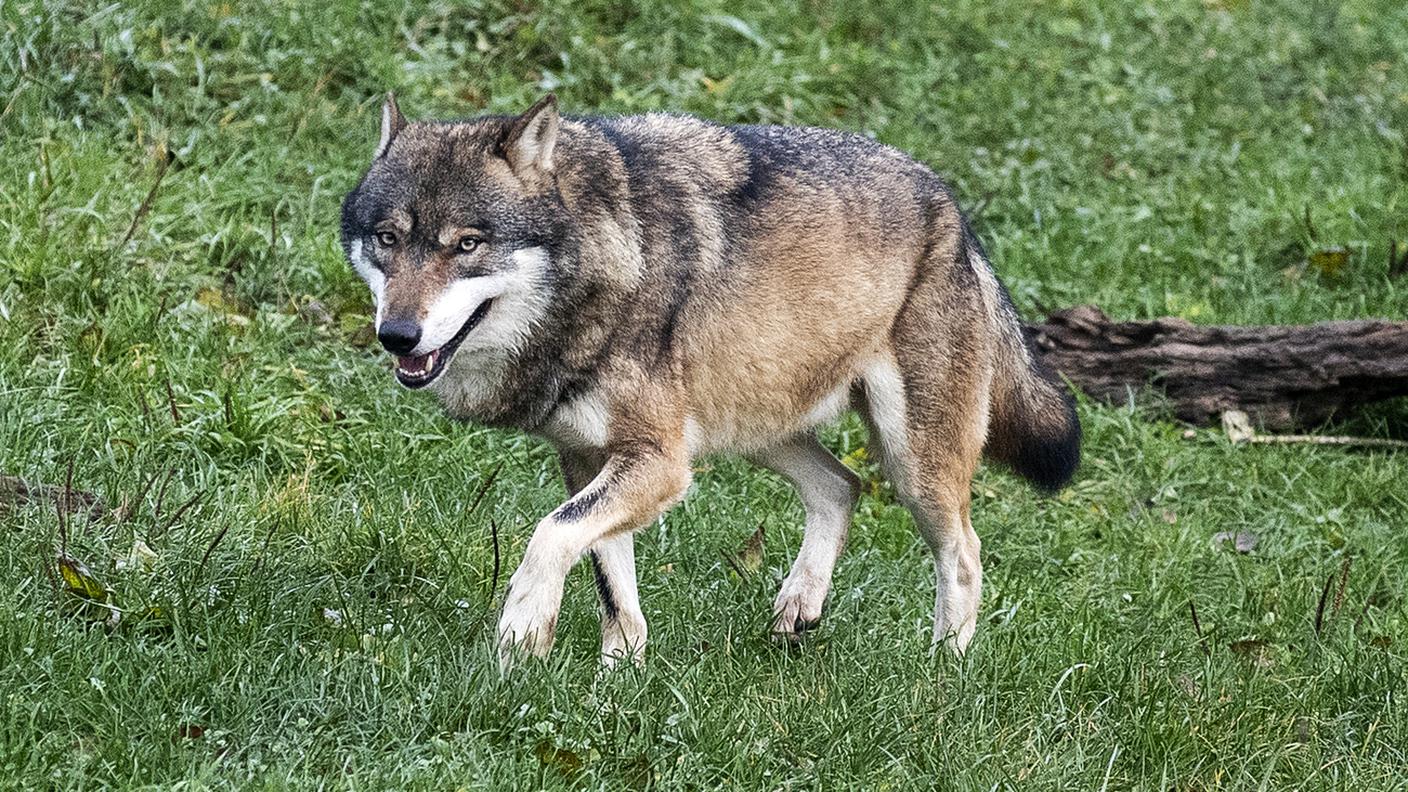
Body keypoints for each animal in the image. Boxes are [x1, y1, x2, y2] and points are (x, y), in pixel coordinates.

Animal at [337, 90, 1075, 659]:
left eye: (467, 244)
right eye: (388, 238)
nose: (397, 335)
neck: (603, 269)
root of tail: (953, 210)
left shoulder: (660, 463)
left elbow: (550, 535)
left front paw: (522, 632)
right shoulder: (588, 457)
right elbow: (613, 585)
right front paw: (618, 681)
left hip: (912, 466)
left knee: (964, 552)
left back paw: (941, 671)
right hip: (758, 429)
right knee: (843, 486)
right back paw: (799, 605)